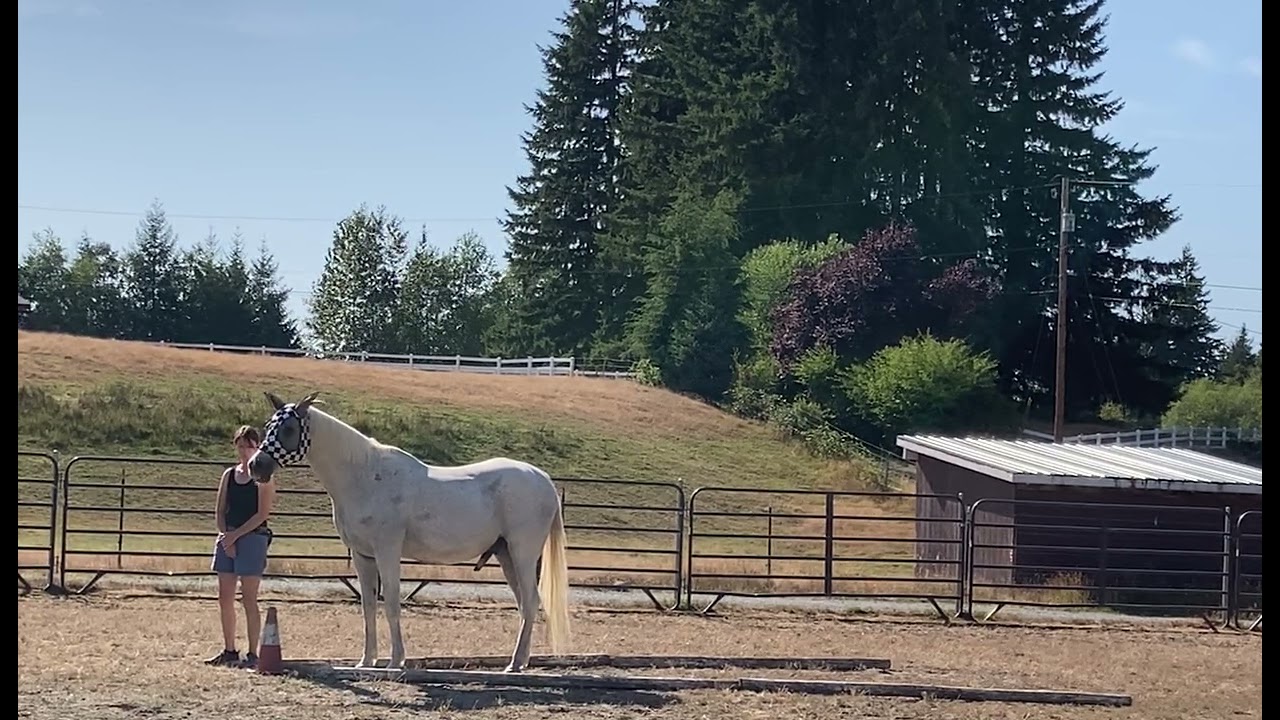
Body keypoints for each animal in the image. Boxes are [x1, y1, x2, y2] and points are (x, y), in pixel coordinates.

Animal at [244, 390, 571, 672]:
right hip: (506, 555)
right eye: (268, 426)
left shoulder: (387, 551)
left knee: (531, 601)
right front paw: (366, 661)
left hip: (522, 553)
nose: (256, 465)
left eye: (288, 429)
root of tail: (542, 479)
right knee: (524, 604)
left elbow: (390, 603)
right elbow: (368, 607)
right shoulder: (363, 556)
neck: (365, 476)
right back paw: (520, 662)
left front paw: (395, 661)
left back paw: (514, 664)